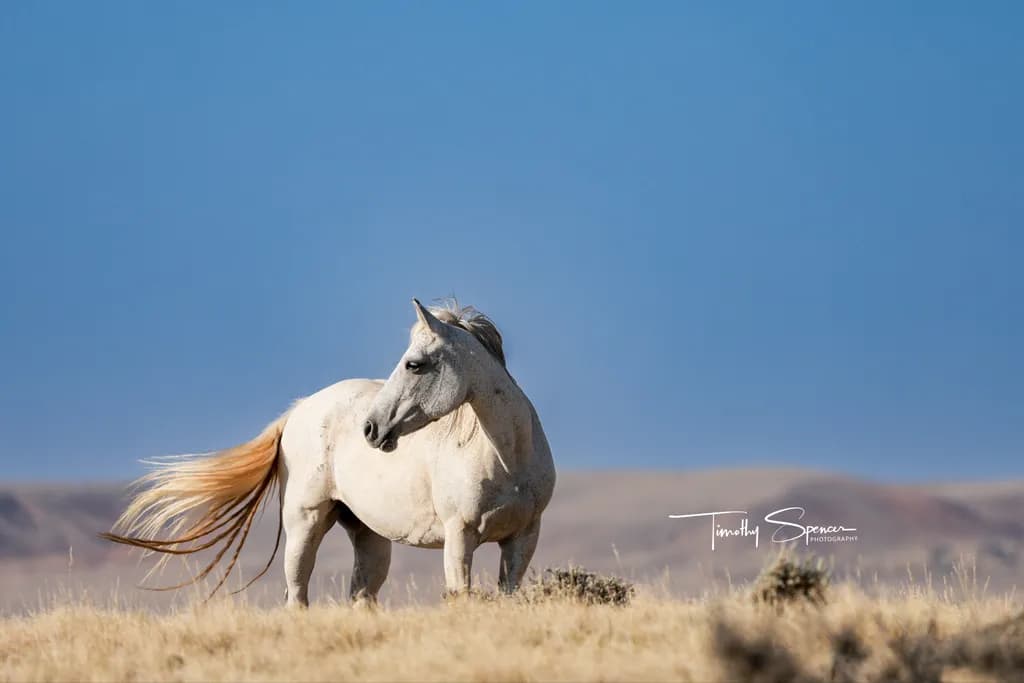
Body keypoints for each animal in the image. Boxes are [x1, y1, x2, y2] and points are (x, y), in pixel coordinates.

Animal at [101, 299, 556, 606]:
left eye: (414, 364)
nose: (371, 429)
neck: (507, 459)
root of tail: (299, 410)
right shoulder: (460, 536)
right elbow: (460, 593)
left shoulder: (522, 539)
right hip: (305, 523)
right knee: (297, 596)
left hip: (369, 534)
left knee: (362, 596)